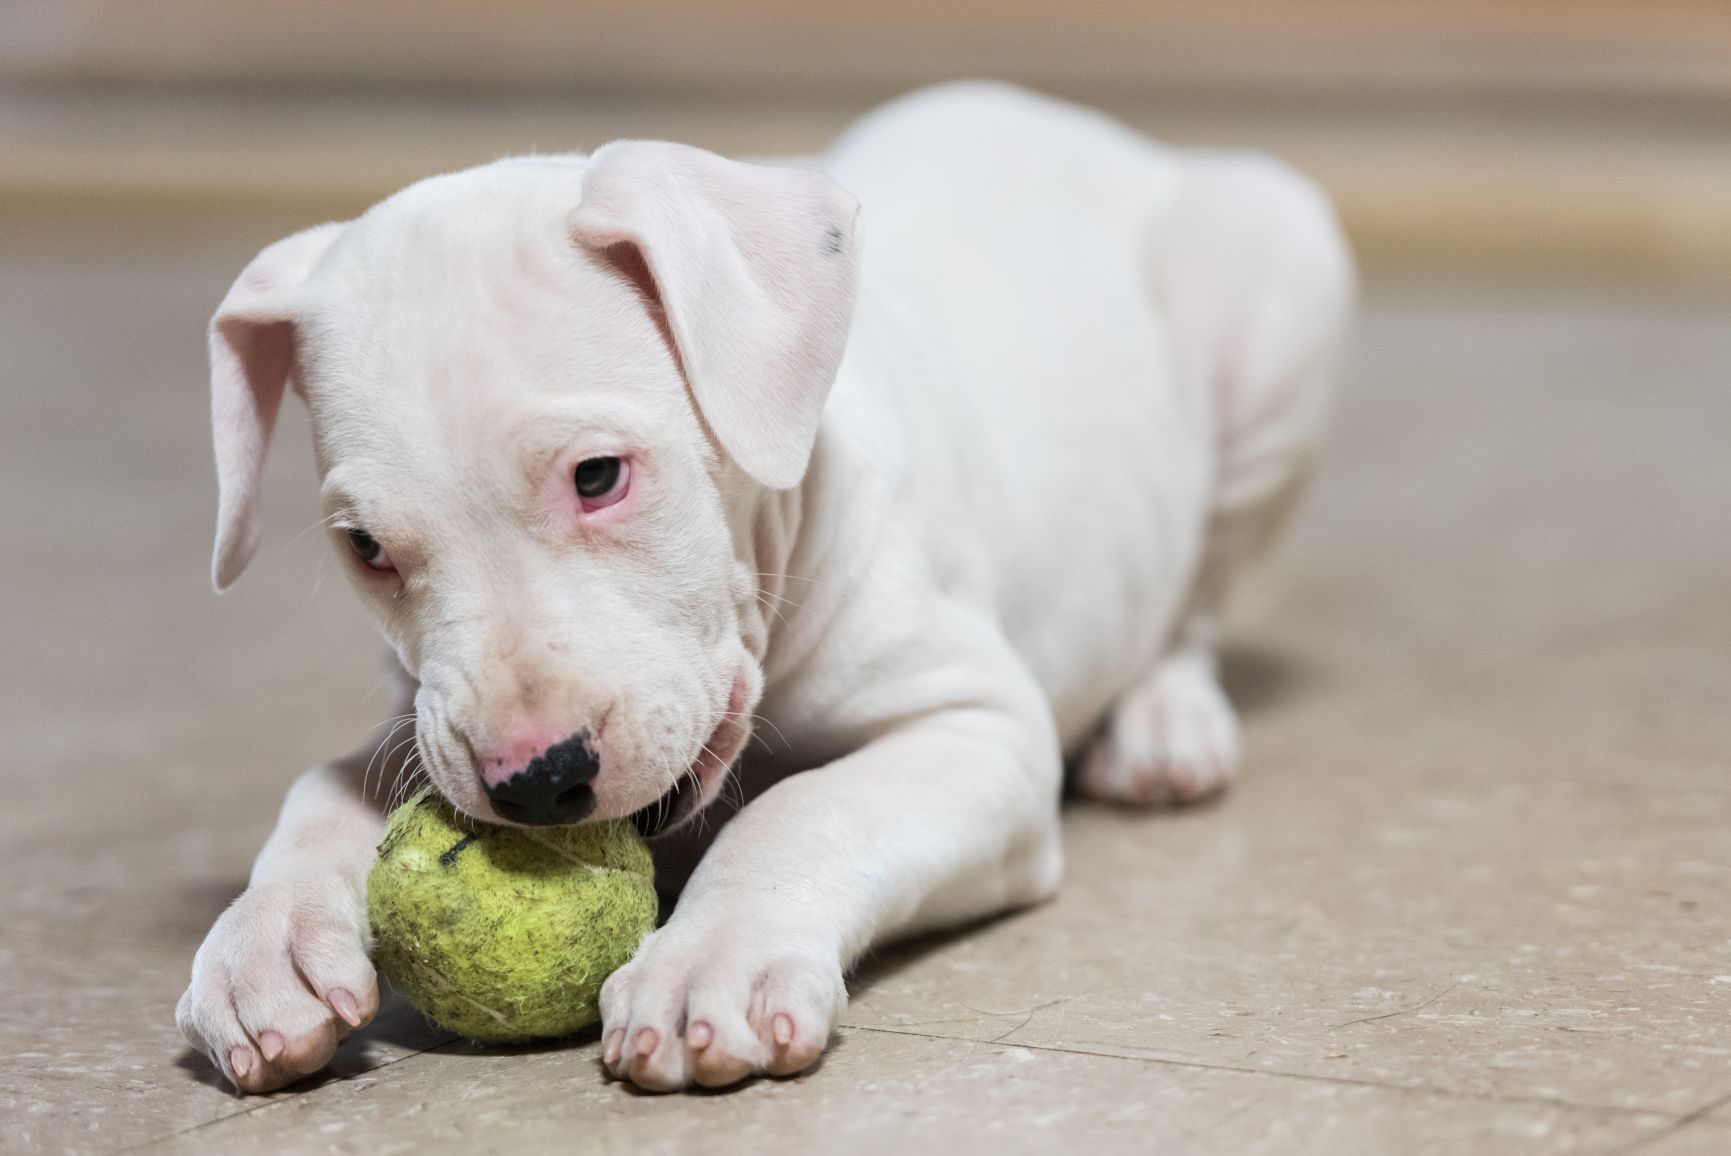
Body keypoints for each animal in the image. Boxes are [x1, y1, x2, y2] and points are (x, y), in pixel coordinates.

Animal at [175, 81, 1350, 1093]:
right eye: (367, 546)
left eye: (598, 476)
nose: (535, 784)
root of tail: (1077, 124)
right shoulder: (420, 718)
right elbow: (325, 784)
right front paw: (266, 941)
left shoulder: (979, 728)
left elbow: (803, 809)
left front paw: (713, 964)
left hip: (1279, 309)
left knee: (1195, 597)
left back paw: (1163, 722)